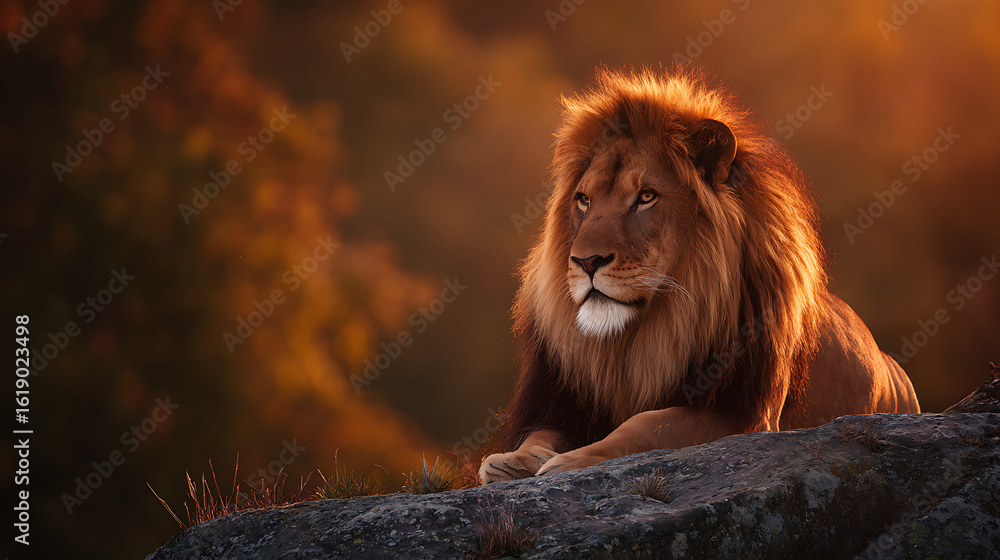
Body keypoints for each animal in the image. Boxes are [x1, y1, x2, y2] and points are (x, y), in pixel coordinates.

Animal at [479, 68, 920, 484]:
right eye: (584, 200)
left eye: (646, 197)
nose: (585, 261)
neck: (639, 339)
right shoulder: (562, 400)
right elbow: (541, 434)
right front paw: (511, 462)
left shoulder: (745, 416)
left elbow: (646, 424)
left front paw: (569, 462)